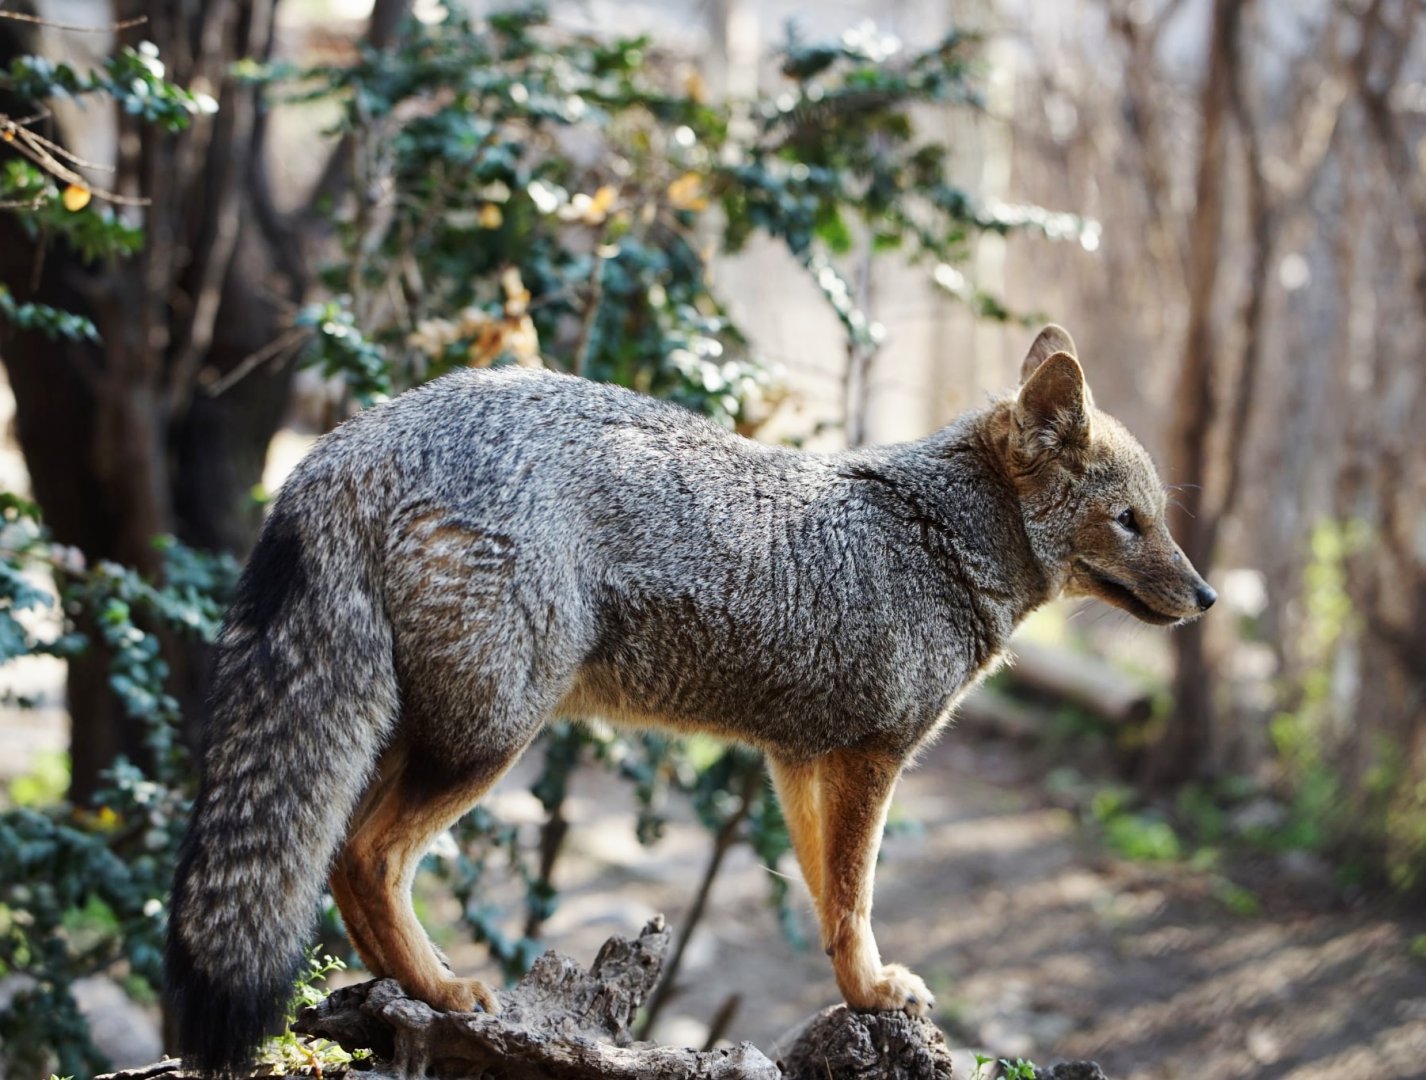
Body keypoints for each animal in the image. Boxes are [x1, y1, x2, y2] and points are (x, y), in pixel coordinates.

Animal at [165, 324, 1215, 1072]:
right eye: (1132, 522)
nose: (1205, 596)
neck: (930, 535)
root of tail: (354, 438)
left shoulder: (800, 759)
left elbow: (828, 897)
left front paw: (857, 986)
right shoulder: (873, 756)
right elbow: (855, 900)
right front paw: (872, 996)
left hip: (408, 733)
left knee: (342, 862)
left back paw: (399, 991)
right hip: (490, 738)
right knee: (369, 857)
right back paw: (441, 991)